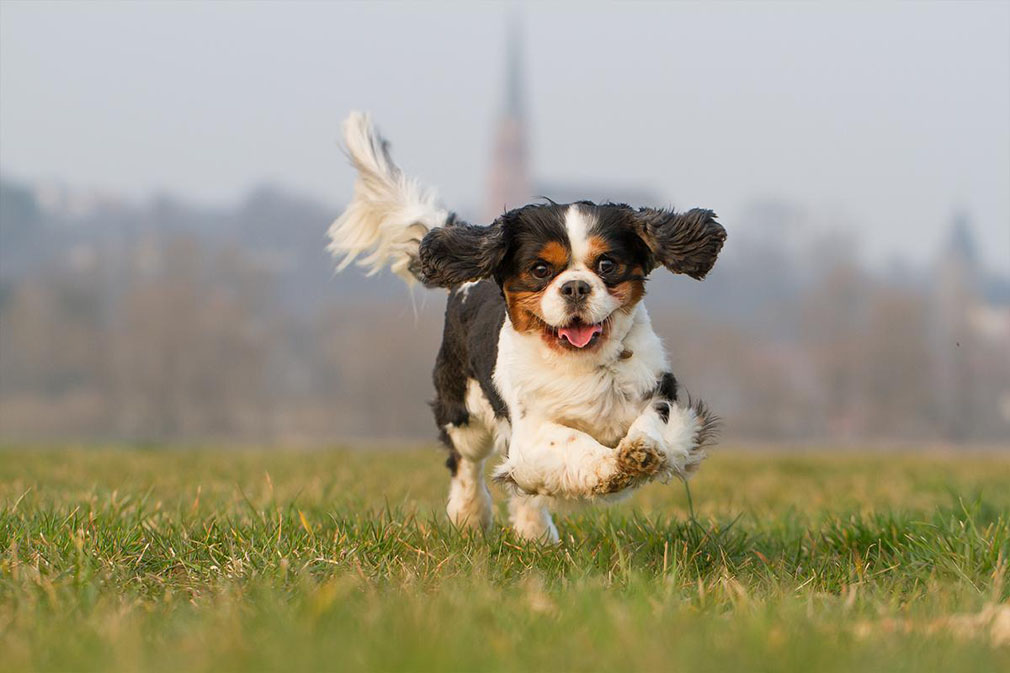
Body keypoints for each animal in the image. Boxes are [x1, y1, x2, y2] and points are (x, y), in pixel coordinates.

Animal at [329, 110, 727, 541]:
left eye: (607, 265)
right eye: (540, 270)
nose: (575, 286)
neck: (582, 360)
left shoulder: (661, 394)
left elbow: (653, 426)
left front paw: (640, 450)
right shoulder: (530, 432)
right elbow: (569, 443)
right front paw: (613, 467)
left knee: (521, 489)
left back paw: (535, 534)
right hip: (463, 412)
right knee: (466, 464)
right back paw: (469, 517)